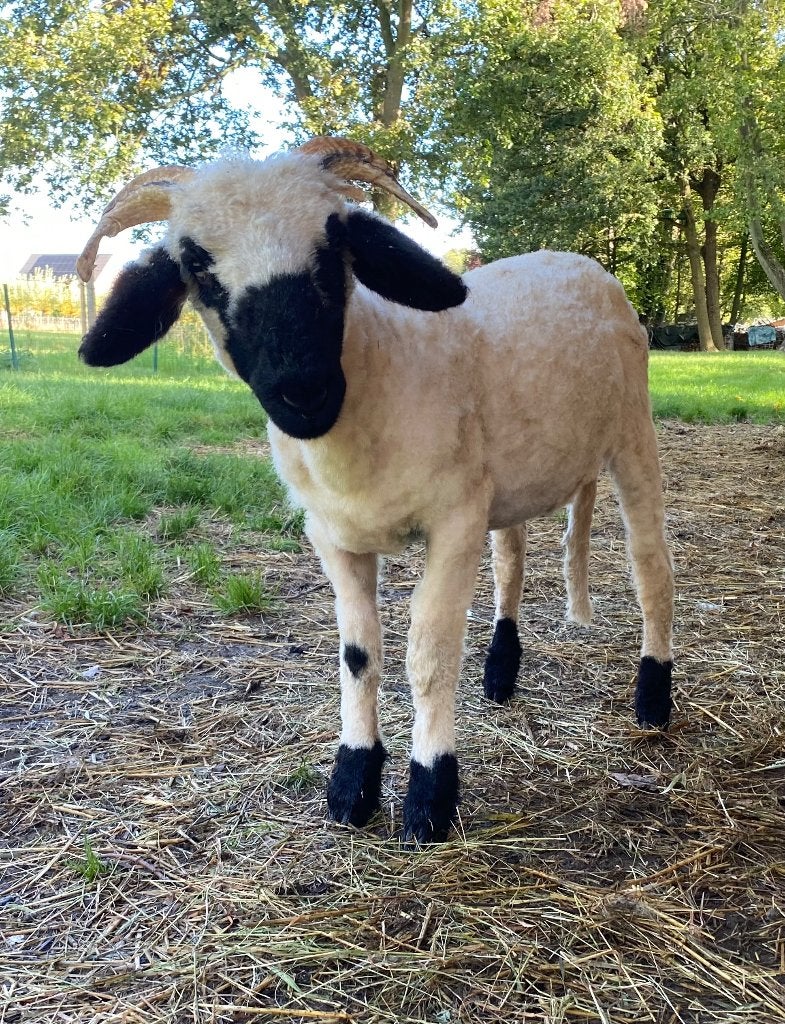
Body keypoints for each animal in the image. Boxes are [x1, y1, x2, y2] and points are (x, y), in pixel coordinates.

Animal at [76, 137, 674, 844]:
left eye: (335, 242)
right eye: (195, 264)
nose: (303, 390)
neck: (385, 362)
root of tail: (576, 260)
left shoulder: (453, 521)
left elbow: (430, 655)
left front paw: (429, 798)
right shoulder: (334, 537)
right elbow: (359, 655)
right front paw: (352, 783)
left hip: (633, 436)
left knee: (651, 568)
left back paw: (653, 699)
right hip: (514, 477)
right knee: (513, 562)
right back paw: (500, 675)